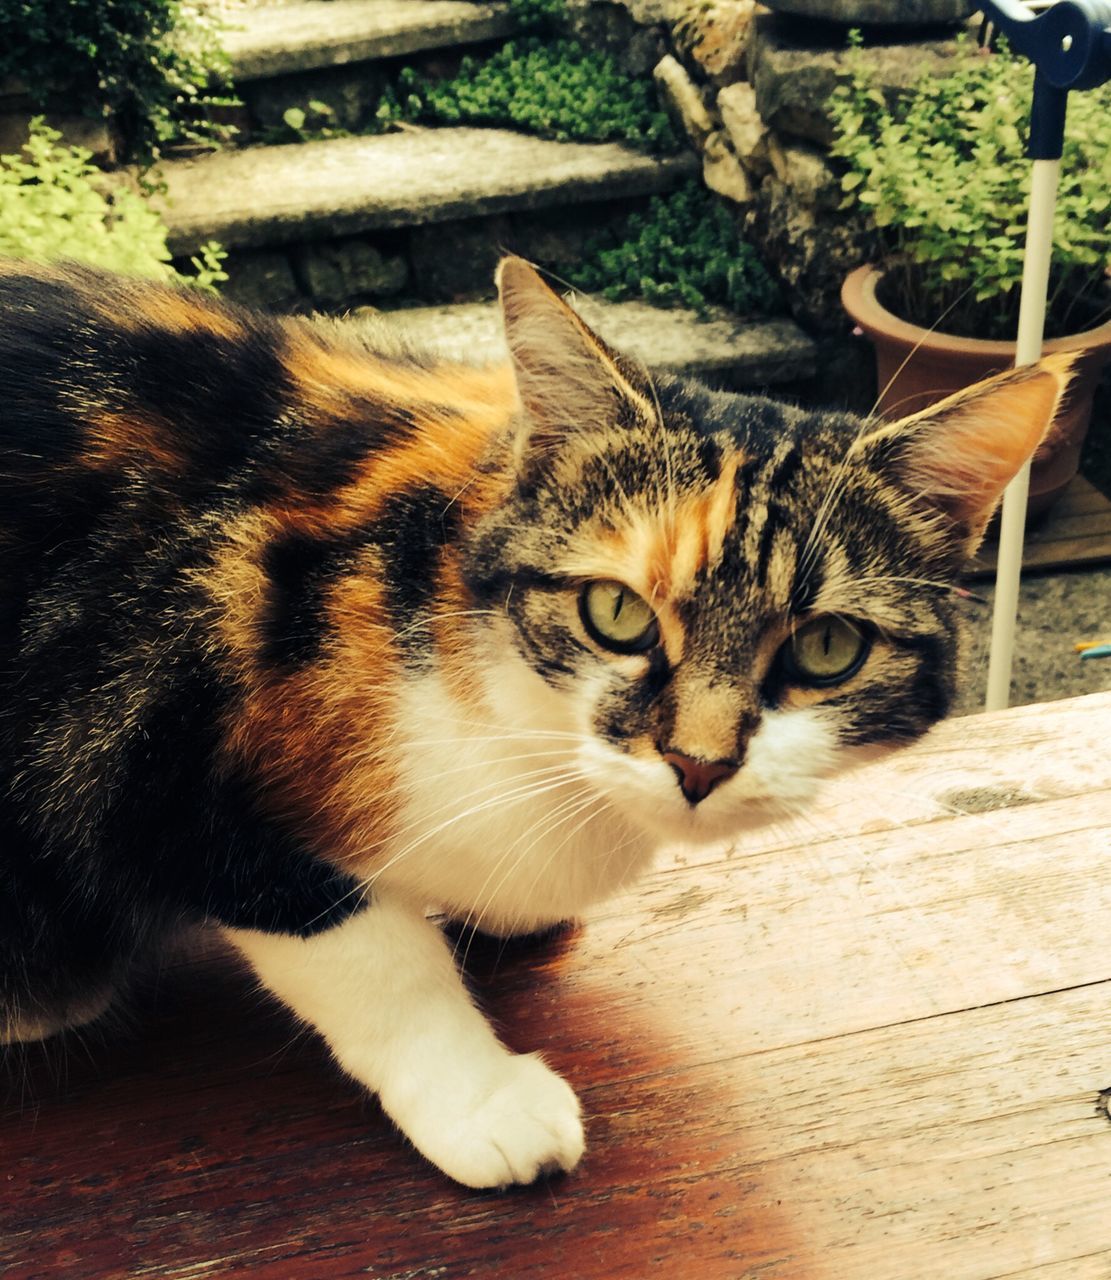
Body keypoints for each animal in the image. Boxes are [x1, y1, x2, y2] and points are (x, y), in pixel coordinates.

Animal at [0, 252, 1070, 1187]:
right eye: (615, 613)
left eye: (827, 647)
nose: (696, 763)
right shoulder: (148, 755)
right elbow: (365, 950)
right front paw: (481, 1099)